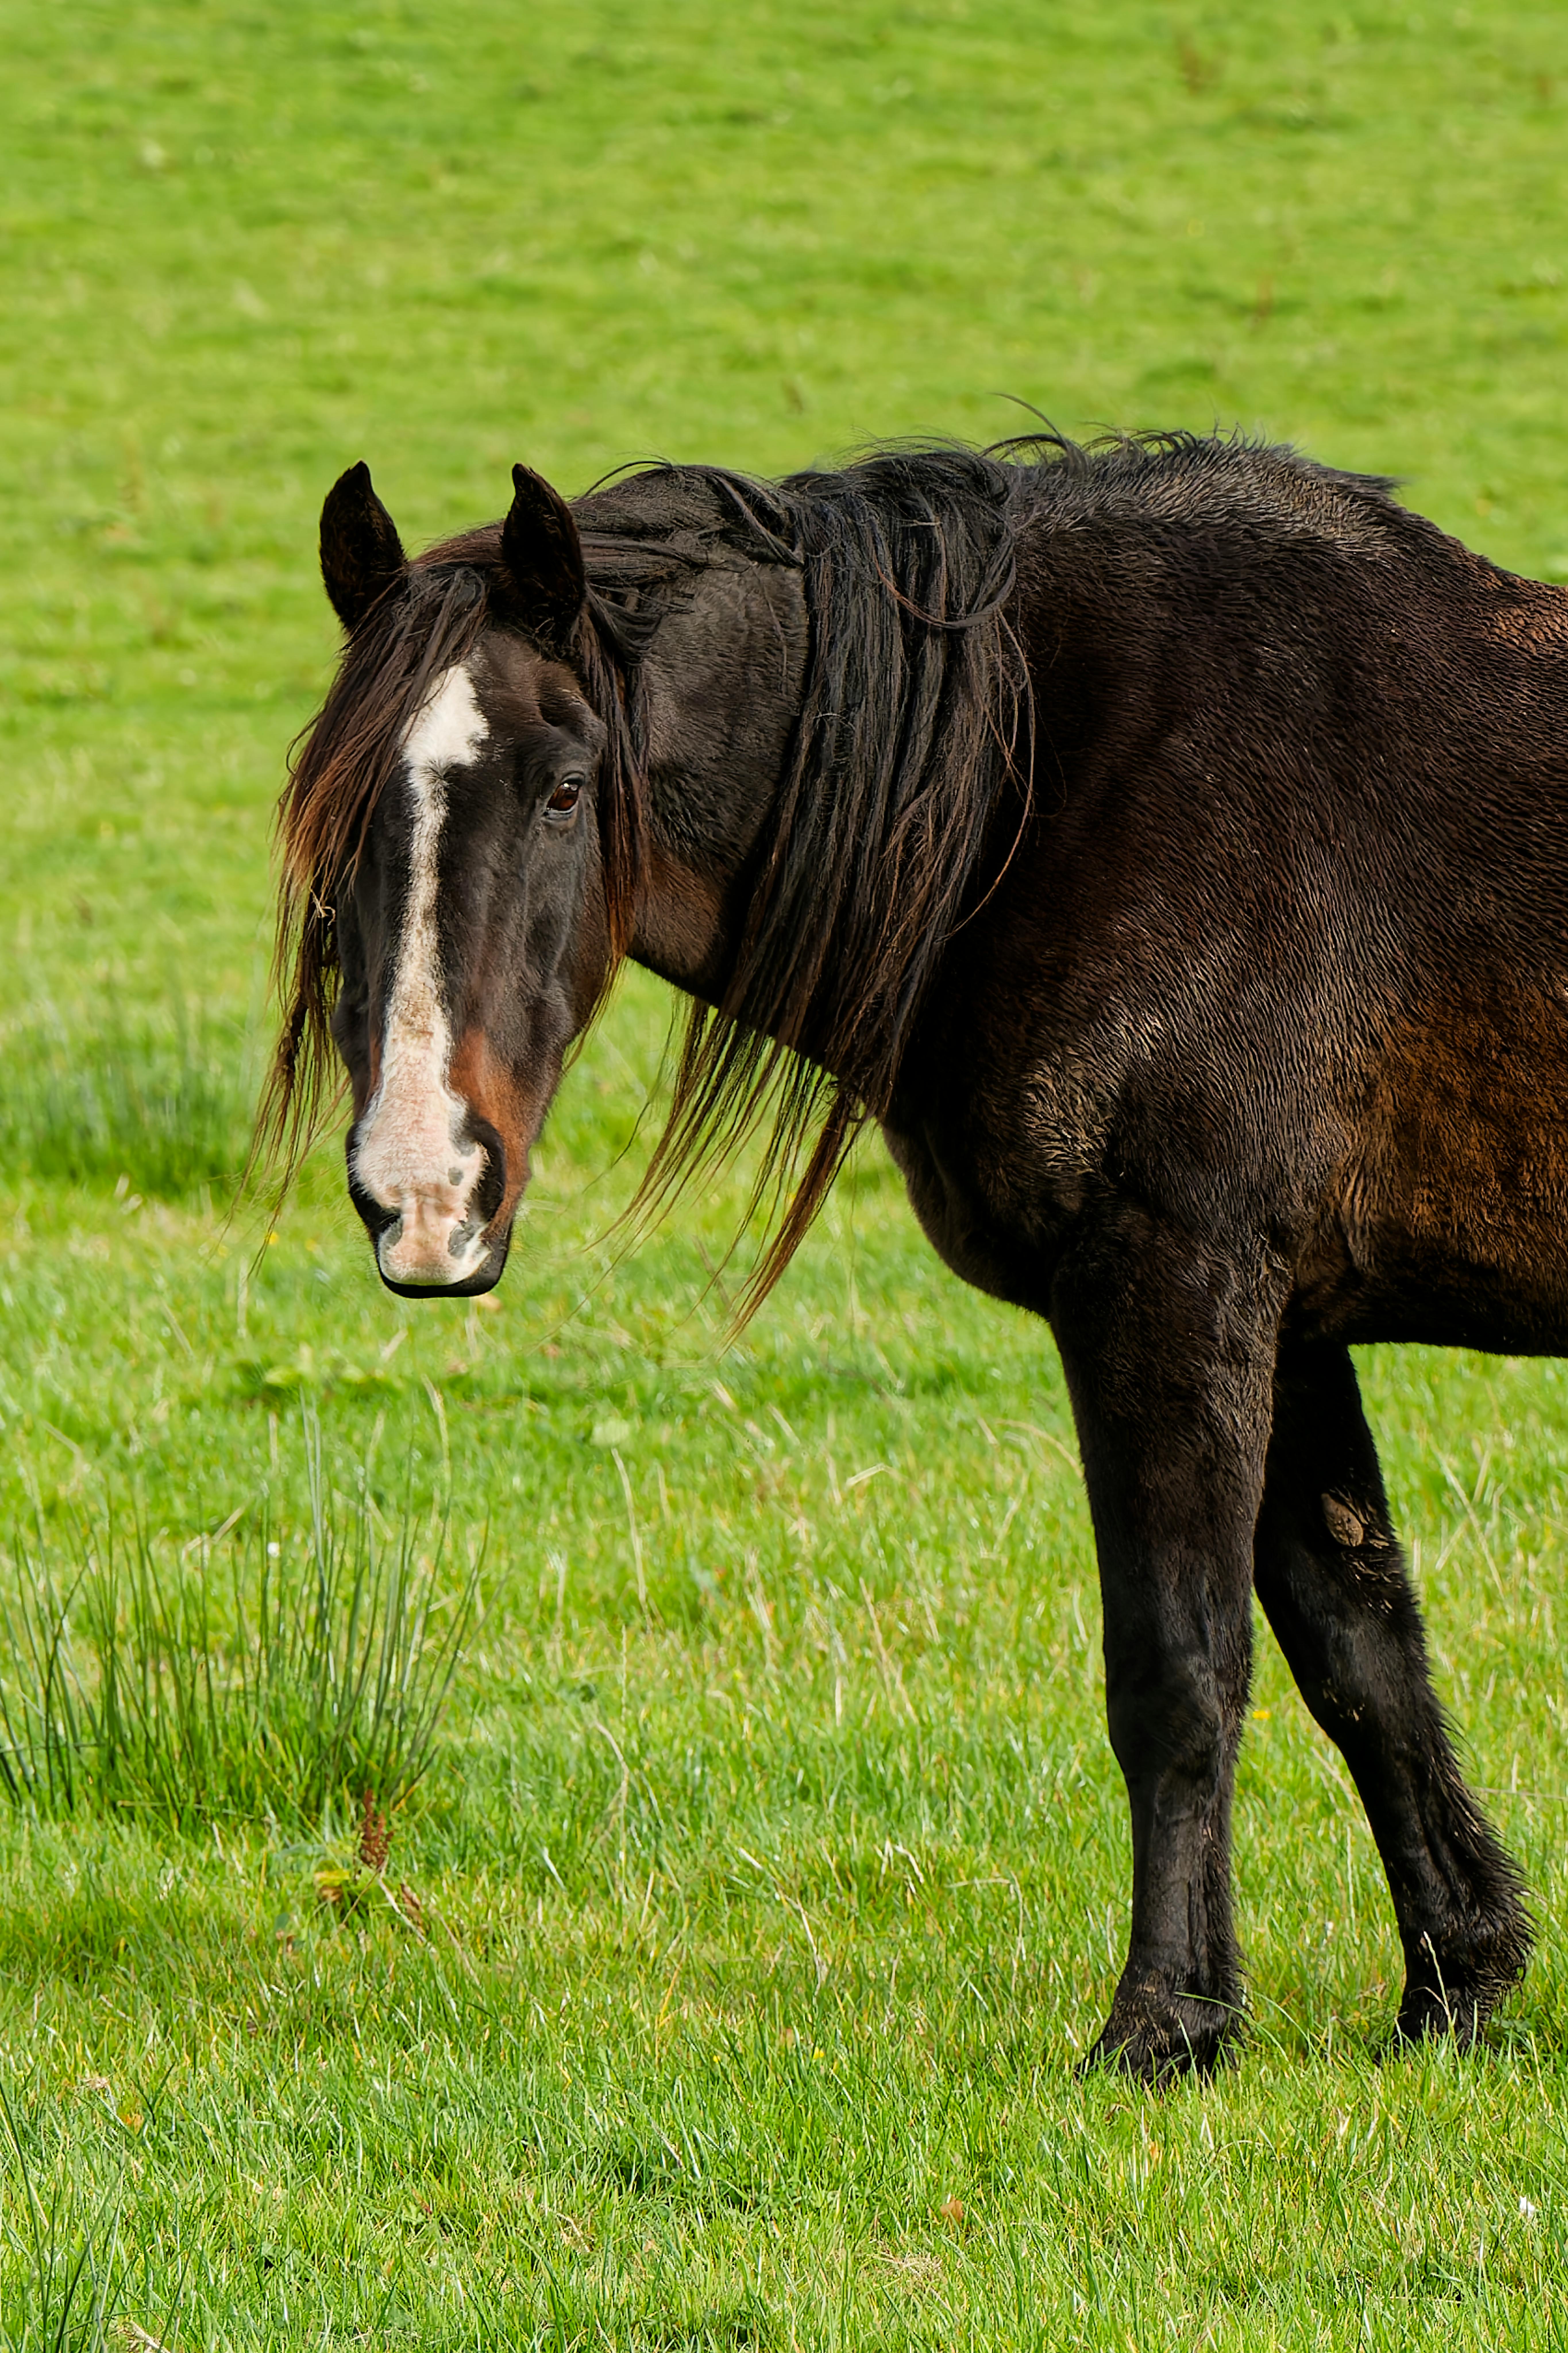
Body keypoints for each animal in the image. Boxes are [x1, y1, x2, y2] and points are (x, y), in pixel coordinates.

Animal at [264, 428, 1568, 2080]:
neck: (1041, 782)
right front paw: (1453, 1986)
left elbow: (1179, 1668)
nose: (422, 1190)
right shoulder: (1288, 1314)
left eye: (564, 789)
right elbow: (1359, 1649)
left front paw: (1164, 2025)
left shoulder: (1171, 1284)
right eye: (336, 809)